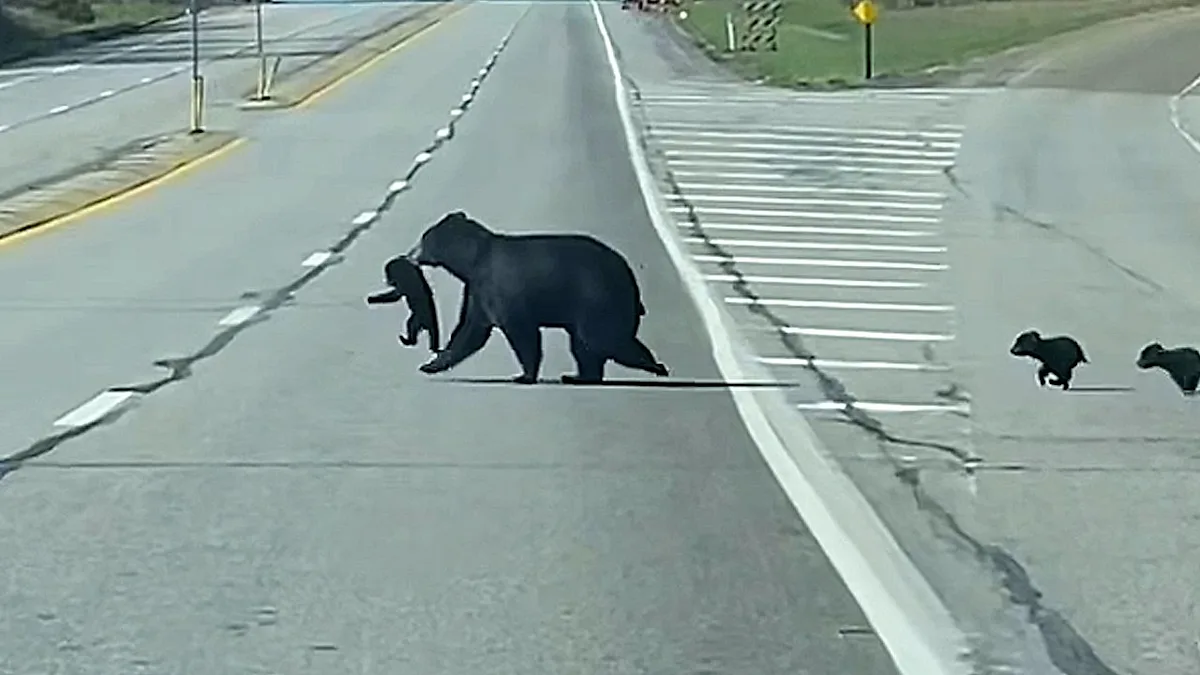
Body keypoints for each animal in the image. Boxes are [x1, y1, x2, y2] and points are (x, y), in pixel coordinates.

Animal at [404, 210, 669, 385]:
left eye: (423, 239)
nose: (409, 255)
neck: (472, 261)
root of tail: (629, 275)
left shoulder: (500, 286)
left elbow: (521, 333)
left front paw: (523, 375)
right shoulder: (478, 291)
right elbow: (469, 331)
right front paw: (430, 364)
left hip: (597, 297)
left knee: (601, 337)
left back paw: (655, 365)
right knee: (583, 345)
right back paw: (578, 376)